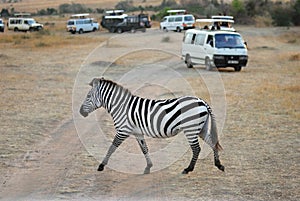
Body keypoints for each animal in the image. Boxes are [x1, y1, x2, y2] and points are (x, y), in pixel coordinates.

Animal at [78, 77, 224, 174]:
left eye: (88, 96)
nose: (80, 112)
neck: (121, 106)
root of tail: (202, 101)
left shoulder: (123, 131)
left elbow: (112, 147)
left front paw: (101, 165)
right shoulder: (137, 132)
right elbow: (144, 149)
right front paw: (148, 167)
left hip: (191, 129)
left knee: (196, 149)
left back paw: (189, 169)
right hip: (201, 128)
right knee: (212, 142)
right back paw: (218, 165)